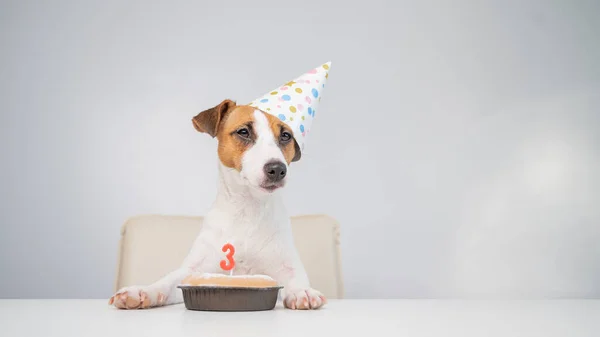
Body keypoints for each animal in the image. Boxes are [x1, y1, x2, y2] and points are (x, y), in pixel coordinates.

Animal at [107, 98, 324, 308]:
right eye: (243, 132)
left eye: (286, 136)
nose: (278, 169)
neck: (247, 208)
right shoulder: (194, 269)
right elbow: (167, 282)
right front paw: (142, 291)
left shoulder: (287, 266)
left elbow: (295, 279)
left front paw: (301, 292)